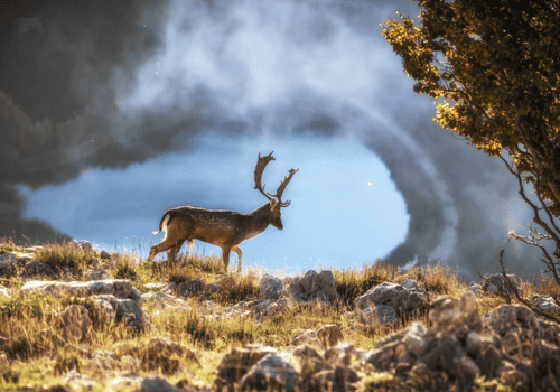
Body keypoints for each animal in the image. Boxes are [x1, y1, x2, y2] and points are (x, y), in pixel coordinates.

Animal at [148, 151, 298, 272]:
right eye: (278, 212)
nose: (281, 226)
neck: (247, 227)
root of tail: (168, 213)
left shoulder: (230, 243)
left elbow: (240, 252)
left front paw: (238, 272)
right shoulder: (227, 242)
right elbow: (225, 264)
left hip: (180, 238)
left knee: (170, 254)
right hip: (176, 234)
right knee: (155, 248)